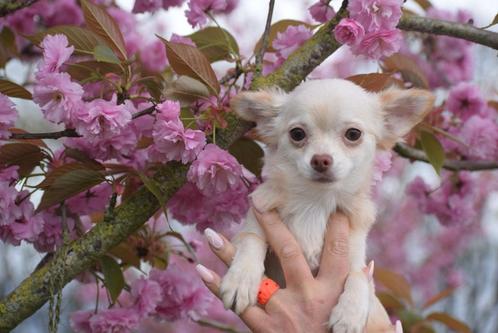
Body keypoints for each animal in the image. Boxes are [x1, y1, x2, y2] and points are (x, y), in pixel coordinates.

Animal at [224, 79, 434, 330]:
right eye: (297, 134)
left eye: (353, 134)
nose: (321, 160)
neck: (316, 202)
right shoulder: (257, 217)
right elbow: (251, 240)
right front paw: (240, 279)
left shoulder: (356, 257)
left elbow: (359, 277)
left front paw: (349, 315)